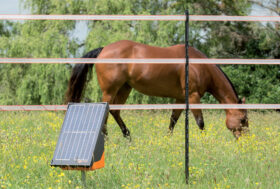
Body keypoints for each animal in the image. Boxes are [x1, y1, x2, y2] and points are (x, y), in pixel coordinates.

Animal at [66, 40, 249, 139]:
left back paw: (128, 136)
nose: (245, 141)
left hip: (125, 89)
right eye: (242, 120)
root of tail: (103, 50)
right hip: (110, 91)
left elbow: (173, 121)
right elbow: (200, 122)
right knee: (106, 112)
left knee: (115, 111)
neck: (198, 65)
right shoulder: (193, 96)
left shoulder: (180, 99)